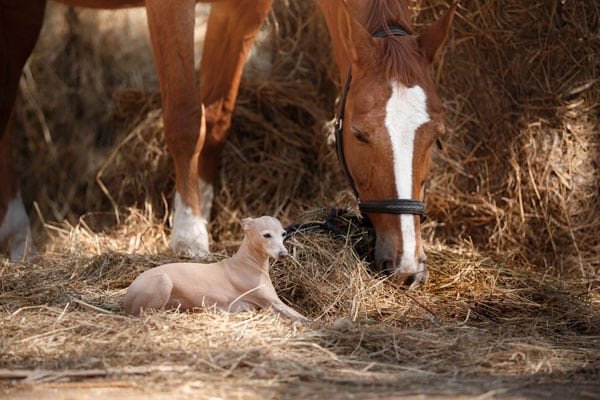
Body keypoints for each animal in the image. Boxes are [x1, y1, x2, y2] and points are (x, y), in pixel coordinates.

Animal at [1, 1, 454, 286]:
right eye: (359, 134)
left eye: (437, 137)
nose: (406, 265)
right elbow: (186, 117)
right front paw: (188, 236)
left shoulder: (240, 10)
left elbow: (216, 117)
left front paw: (201, 210)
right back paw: (19, 233)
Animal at [124, 216, 308, 322]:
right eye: (266, 235)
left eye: (283, 234)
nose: (284, 254)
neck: (248, 262)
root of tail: (128, 293)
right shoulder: (272, 302)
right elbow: (305, 318)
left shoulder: (269, 305)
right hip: (163, 281)